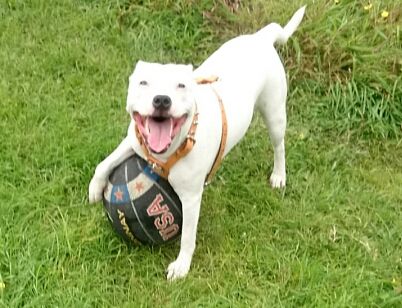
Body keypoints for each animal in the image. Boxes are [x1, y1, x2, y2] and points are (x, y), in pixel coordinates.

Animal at [89, 6, 306, 282]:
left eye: (181, 85)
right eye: (143, 82)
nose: (162, 100)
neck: (171, 148)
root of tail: (261, 38)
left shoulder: (190, 200)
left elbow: (188, 237)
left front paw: (181, 266)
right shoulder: (134, 141)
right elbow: (104, 163)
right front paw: (95, 189)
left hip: (275, 114)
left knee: (279, 146)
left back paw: (279, 175)